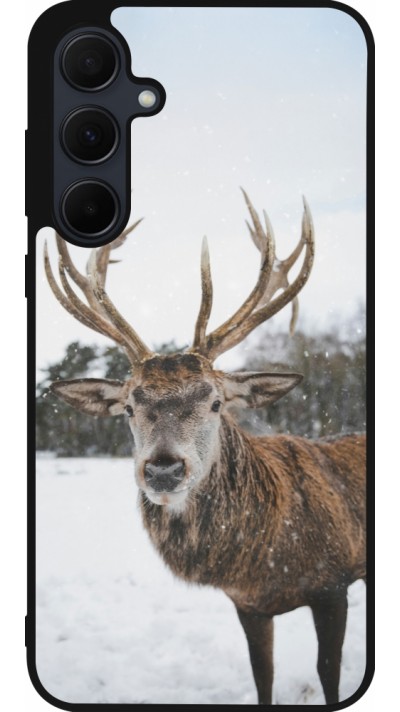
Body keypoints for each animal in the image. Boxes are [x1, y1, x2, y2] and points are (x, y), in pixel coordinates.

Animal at [44, 190, 366, 705]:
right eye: (129, 406)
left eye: (215, 402)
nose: (163, 470)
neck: (265, 559)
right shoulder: (248, 604)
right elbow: (262, 675)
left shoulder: (334, 582)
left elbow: (329, 673)